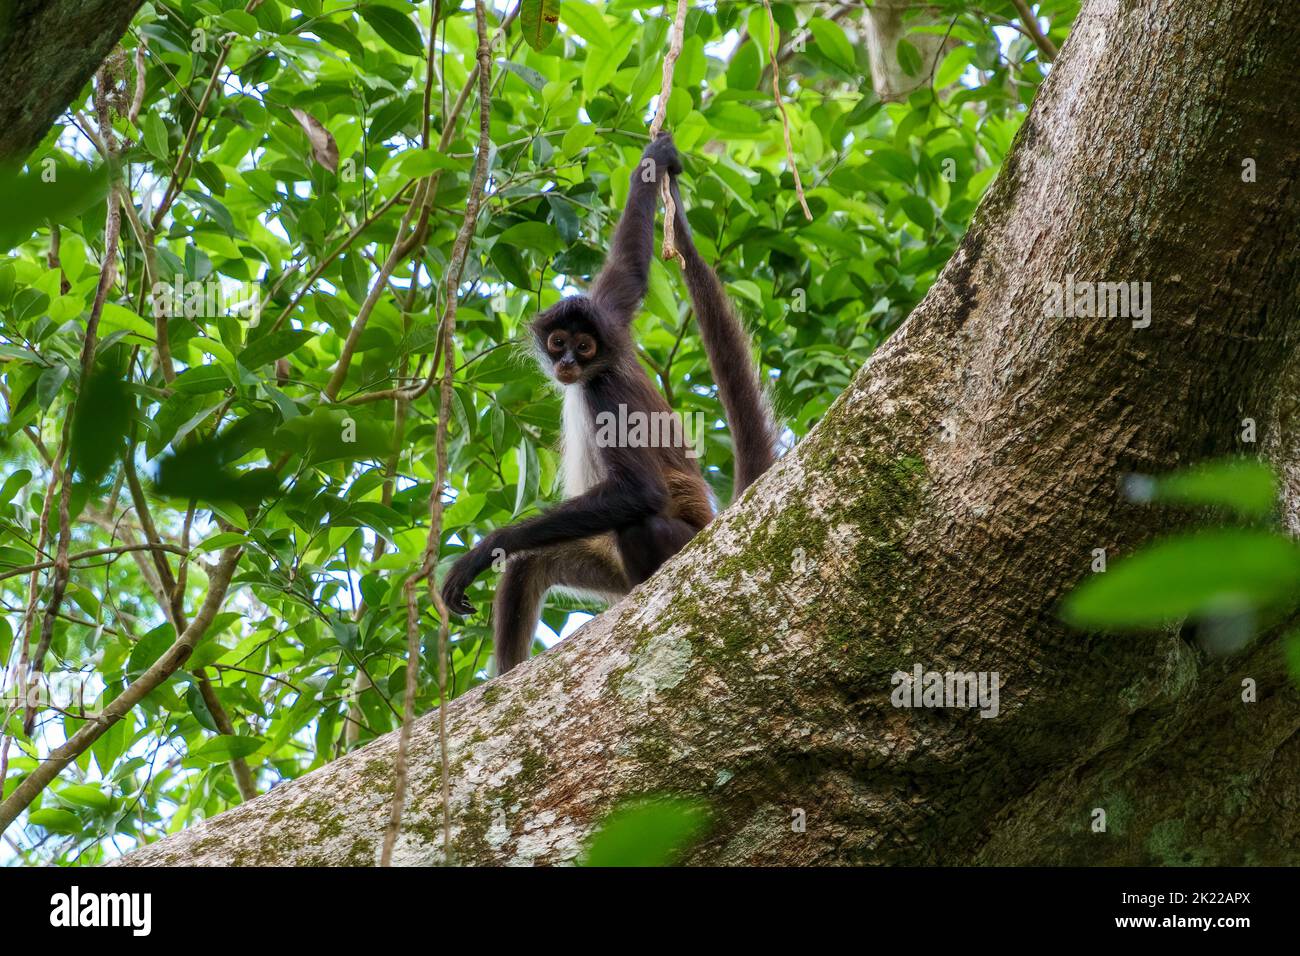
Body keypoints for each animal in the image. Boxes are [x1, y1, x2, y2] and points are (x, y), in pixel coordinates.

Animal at [441, 132, 774, 671]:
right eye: (559, 342)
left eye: (585, 347)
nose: (566, 362)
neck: (595, 373)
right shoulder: (611, 314)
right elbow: (629, 269)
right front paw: (657, 159)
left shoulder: (606, 393)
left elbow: (642, 492)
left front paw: (486, 549)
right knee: (530, 564)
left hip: (673, 545)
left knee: (640, 520)